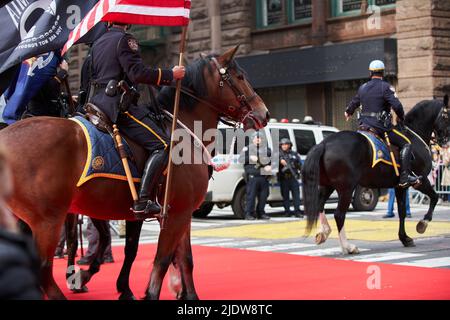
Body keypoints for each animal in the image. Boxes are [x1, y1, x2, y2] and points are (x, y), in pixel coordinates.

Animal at [0, 45, 268, 300]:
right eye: (240, 76)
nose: (264, 113)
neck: (181, 129)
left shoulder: (178, 214)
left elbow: (181, 258)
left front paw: (186, 294)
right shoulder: (175, 213)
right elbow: (161, 259)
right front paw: (150, 292)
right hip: (48, 219)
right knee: (43, 267)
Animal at [304, 94, 448, 252]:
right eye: (447, 116)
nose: (445, 141)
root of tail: (324, 144)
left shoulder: (400, 186)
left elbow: (402, 211)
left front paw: (405, 238)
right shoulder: (420, 181)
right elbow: (434, 197)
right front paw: (422, 223)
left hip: (328, 185)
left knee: (320, 204)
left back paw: (324, 232)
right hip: (346, 188)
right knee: (339, 215)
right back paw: (348, 246)